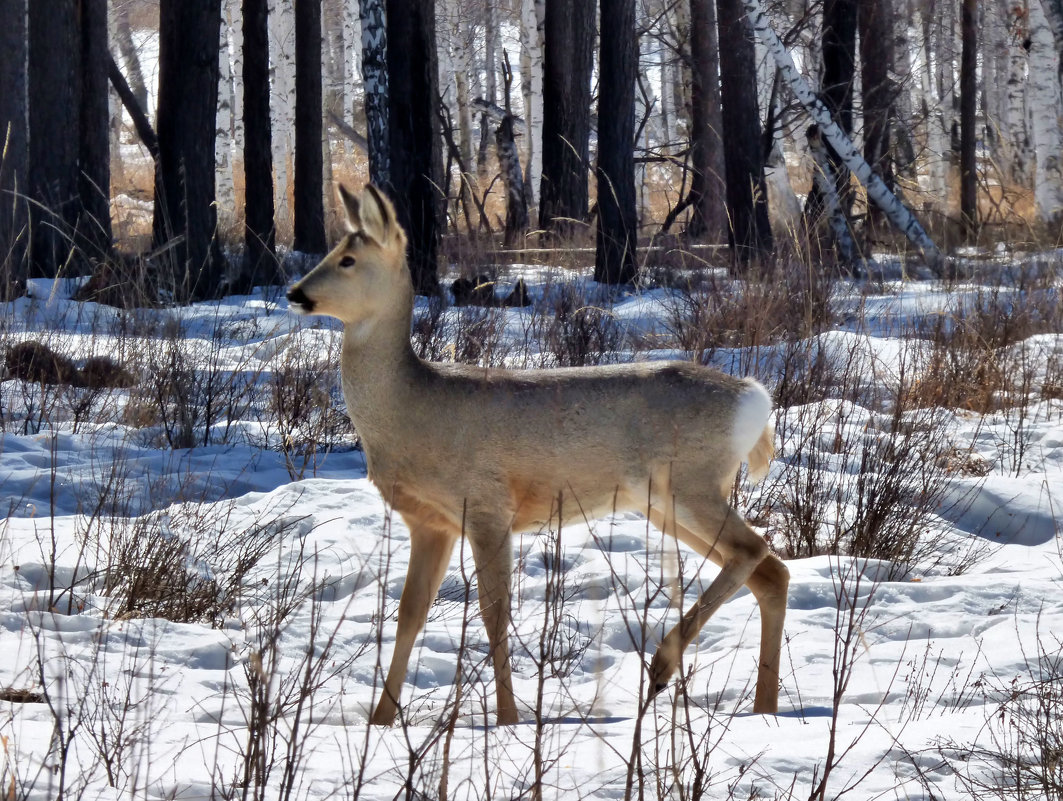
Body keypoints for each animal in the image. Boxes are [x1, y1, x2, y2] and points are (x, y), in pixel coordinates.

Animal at [289, 183, 790, 726]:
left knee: (753, 550)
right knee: (770, 571)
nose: (295, 293)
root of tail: (755, 398)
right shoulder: (430, 522)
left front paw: (508, 719)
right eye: (330, 252)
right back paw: (764, 709)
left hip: (690, 483)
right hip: (662, 502)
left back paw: (662, 665)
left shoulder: (487, 506)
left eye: (349, 259)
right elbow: (408, 615)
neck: (412, 407)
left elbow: (494, 614)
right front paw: (380, 719)